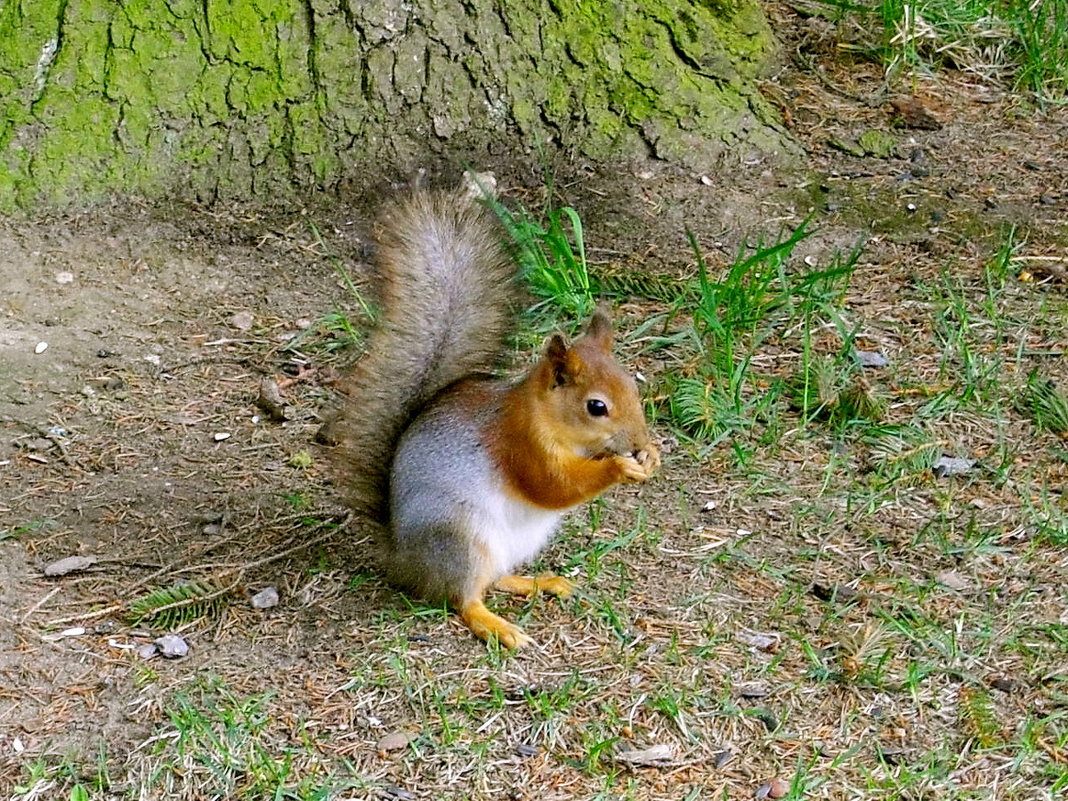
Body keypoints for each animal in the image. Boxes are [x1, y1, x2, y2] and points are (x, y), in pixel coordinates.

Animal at [326, 190, 657, 653]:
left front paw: (651, 456)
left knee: (495, 579)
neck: (550, 420)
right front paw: (618, 467)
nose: (638, 441)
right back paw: (497, 627)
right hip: (459, 537)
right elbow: (552, 486)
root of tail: (403, 560)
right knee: (465, 597)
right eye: (596, 407)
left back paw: (540, 583)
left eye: (632, 386)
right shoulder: (520, 443)